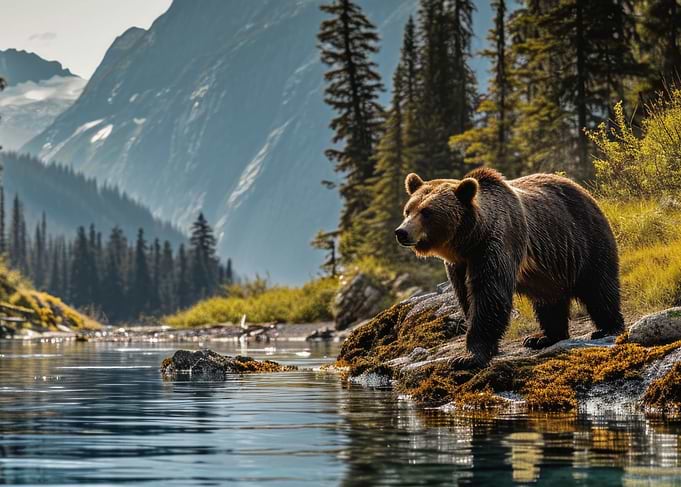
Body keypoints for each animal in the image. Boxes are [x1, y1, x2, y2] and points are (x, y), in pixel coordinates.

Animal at [394, 167, 624, 369]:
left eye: (426, 212)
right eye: (408, 210)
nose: (401, 232)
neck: (469, 240)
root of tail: (585, 191)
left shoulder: (497, 244)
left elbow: (489, 295)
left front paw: (467, 358)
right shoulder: (459, 264)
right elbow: (466, 297)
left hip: (584, 240)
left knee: (599, 287)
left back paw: (607, 328)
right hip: (549, 269)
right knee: (549, 300)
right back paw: (543, 337)